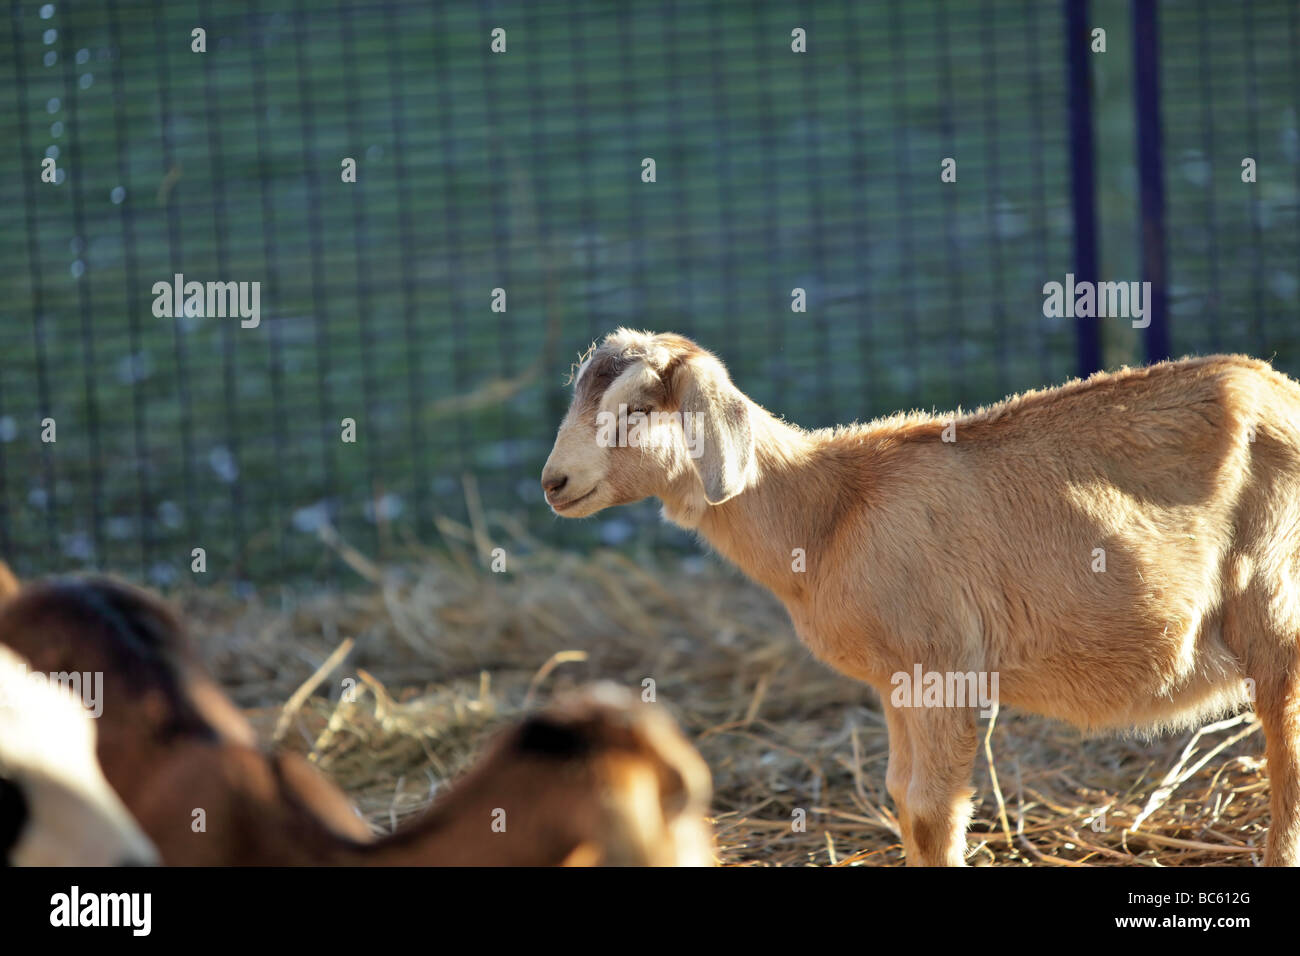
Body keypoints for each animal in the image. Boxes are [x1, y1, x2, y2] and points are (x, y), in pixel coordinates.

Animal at [541, 328, 1300, 866]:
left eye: (639, 408)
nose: (554, 482)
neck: (827, 511)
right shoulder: (895, 682)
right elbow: (903, 801)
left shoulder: (940, 667)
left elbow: (934, 814)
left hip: (1277, 603)